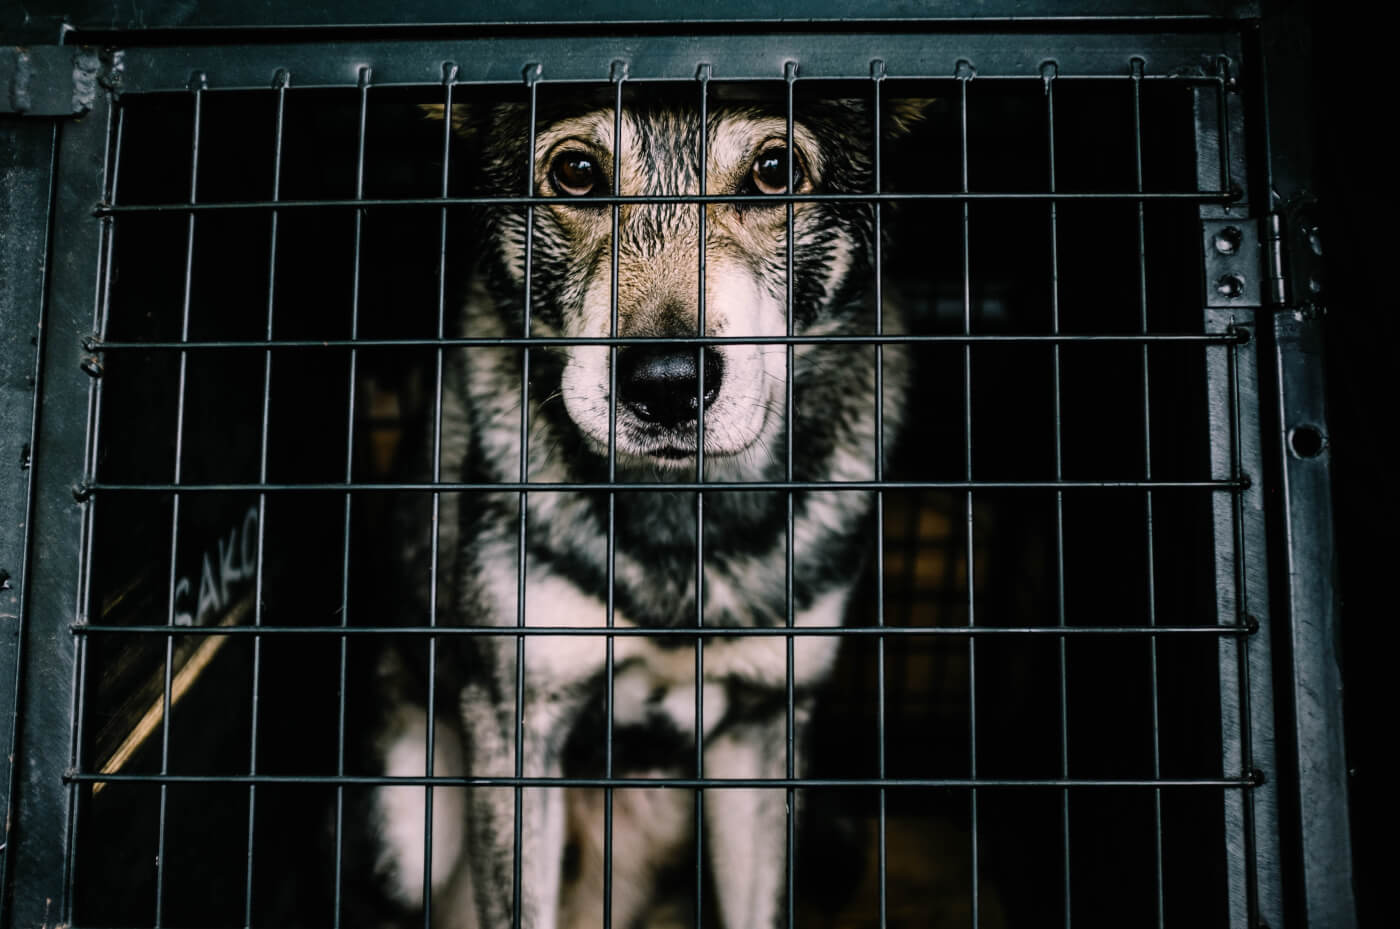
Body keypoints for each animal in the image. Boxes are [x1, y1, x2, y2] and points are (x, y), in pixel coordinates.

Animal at [364, 87, 918, 929]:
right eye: (577, 172)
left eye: (775, 170)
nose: (664, 382)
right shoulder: (516, 721)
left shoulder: (763, 724)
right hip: (406, 829)